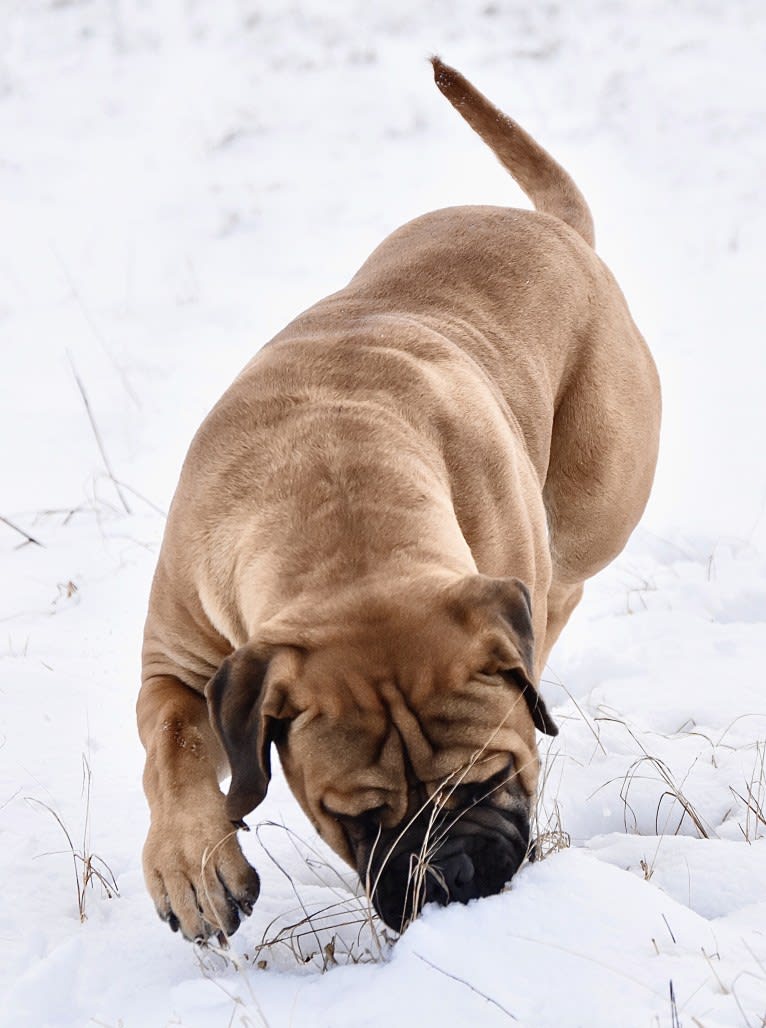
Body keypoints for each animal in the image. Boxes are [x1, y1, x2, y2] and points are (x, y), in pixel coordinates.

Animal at [135, 56, 658, 941]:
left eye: (493, 778)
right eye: (355, 816)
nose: (452, 879)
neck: (340, 508)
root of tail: (554, 226)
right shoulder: (177, 657)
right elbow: (172, 739)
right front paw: (192, 869)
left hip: (599, 497)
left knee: (566, 580)